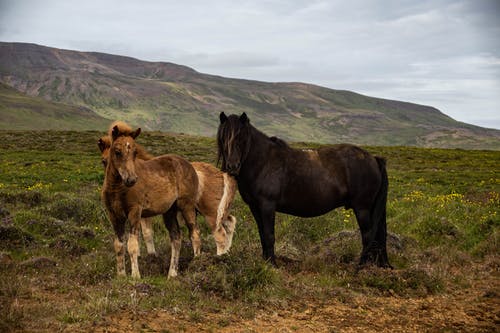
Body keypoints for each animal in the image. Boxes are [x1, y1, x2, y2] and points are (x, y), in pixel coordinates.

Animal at [217, 111, 392, 268]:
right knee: (378, 234)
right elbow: (262, 234)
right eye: (224, 137)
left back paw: (360, 266)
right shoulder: (255, 207)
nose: (232, 167)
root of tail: (374, 159)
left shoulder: (267, 206)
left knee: (368, 235)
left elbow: (269, 235)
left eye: (241, 138)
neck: (263, 162)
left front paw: (272, 264)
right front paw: (265, 262)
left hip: (362, 208)